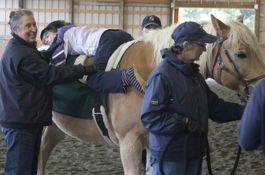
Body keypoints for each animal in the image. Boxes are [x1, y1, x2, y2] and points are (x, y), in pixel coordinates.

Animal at [36, 15, 264, 175]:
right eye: (241, 54)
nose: (260, 91)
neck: (149, 71)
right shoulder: (130, 145)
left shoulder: (149, 148)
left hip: (56, 128)